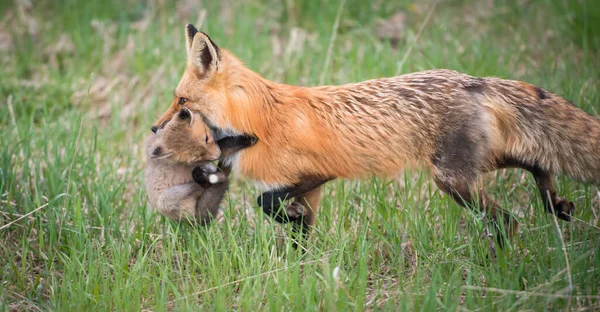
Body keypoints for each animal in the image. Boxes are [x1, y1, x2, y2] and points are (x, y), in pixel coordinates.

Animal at [152, 23, 600, 245]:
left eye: (182, 103)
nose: (154, 127)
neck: (259, 121)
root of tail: (472, 80)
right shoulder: (312, 189)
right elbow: (299, 236)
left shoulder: (318, 174)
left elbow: (266, 202)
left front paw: (285, 221)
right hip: (476, 165)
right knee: (536, 160)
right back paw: (554, 201)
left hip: (453, 180)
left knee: (508, 220)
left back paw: (502, 257)